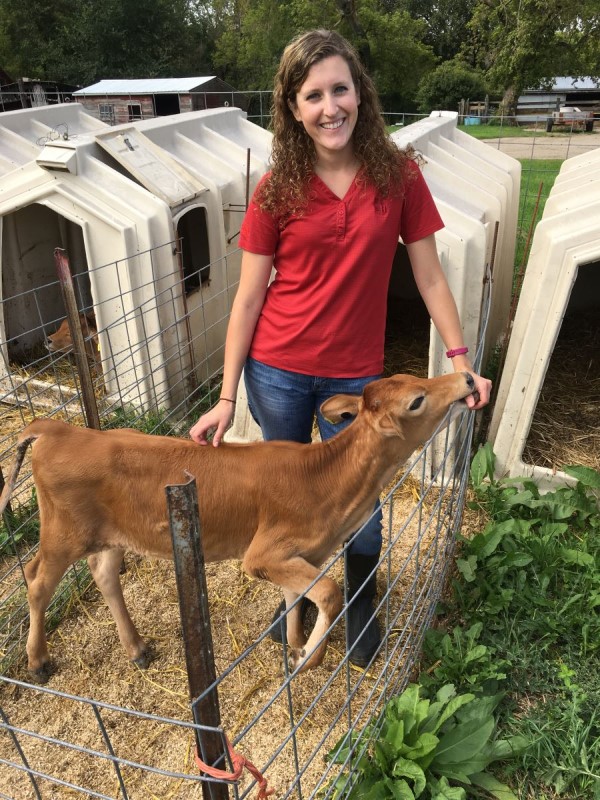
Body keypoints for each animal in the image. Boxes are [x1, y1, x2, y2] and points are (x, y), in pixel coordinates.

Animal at [0, 370, 476, 680]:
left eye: (415, 378)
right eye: (416, 400)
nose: (469, 379)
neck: (325, 479)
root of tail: (58, 429)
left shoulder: (298, 555)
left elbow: (296, 599)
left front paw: (296, 645)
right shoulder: (263, 552)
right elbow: (328, 591)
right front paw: (309, 657)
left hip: (110, 533)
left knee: (103, 575)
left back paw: (137, 649)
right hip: (63, 532)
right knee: (36, 580)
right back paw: (38, 662)